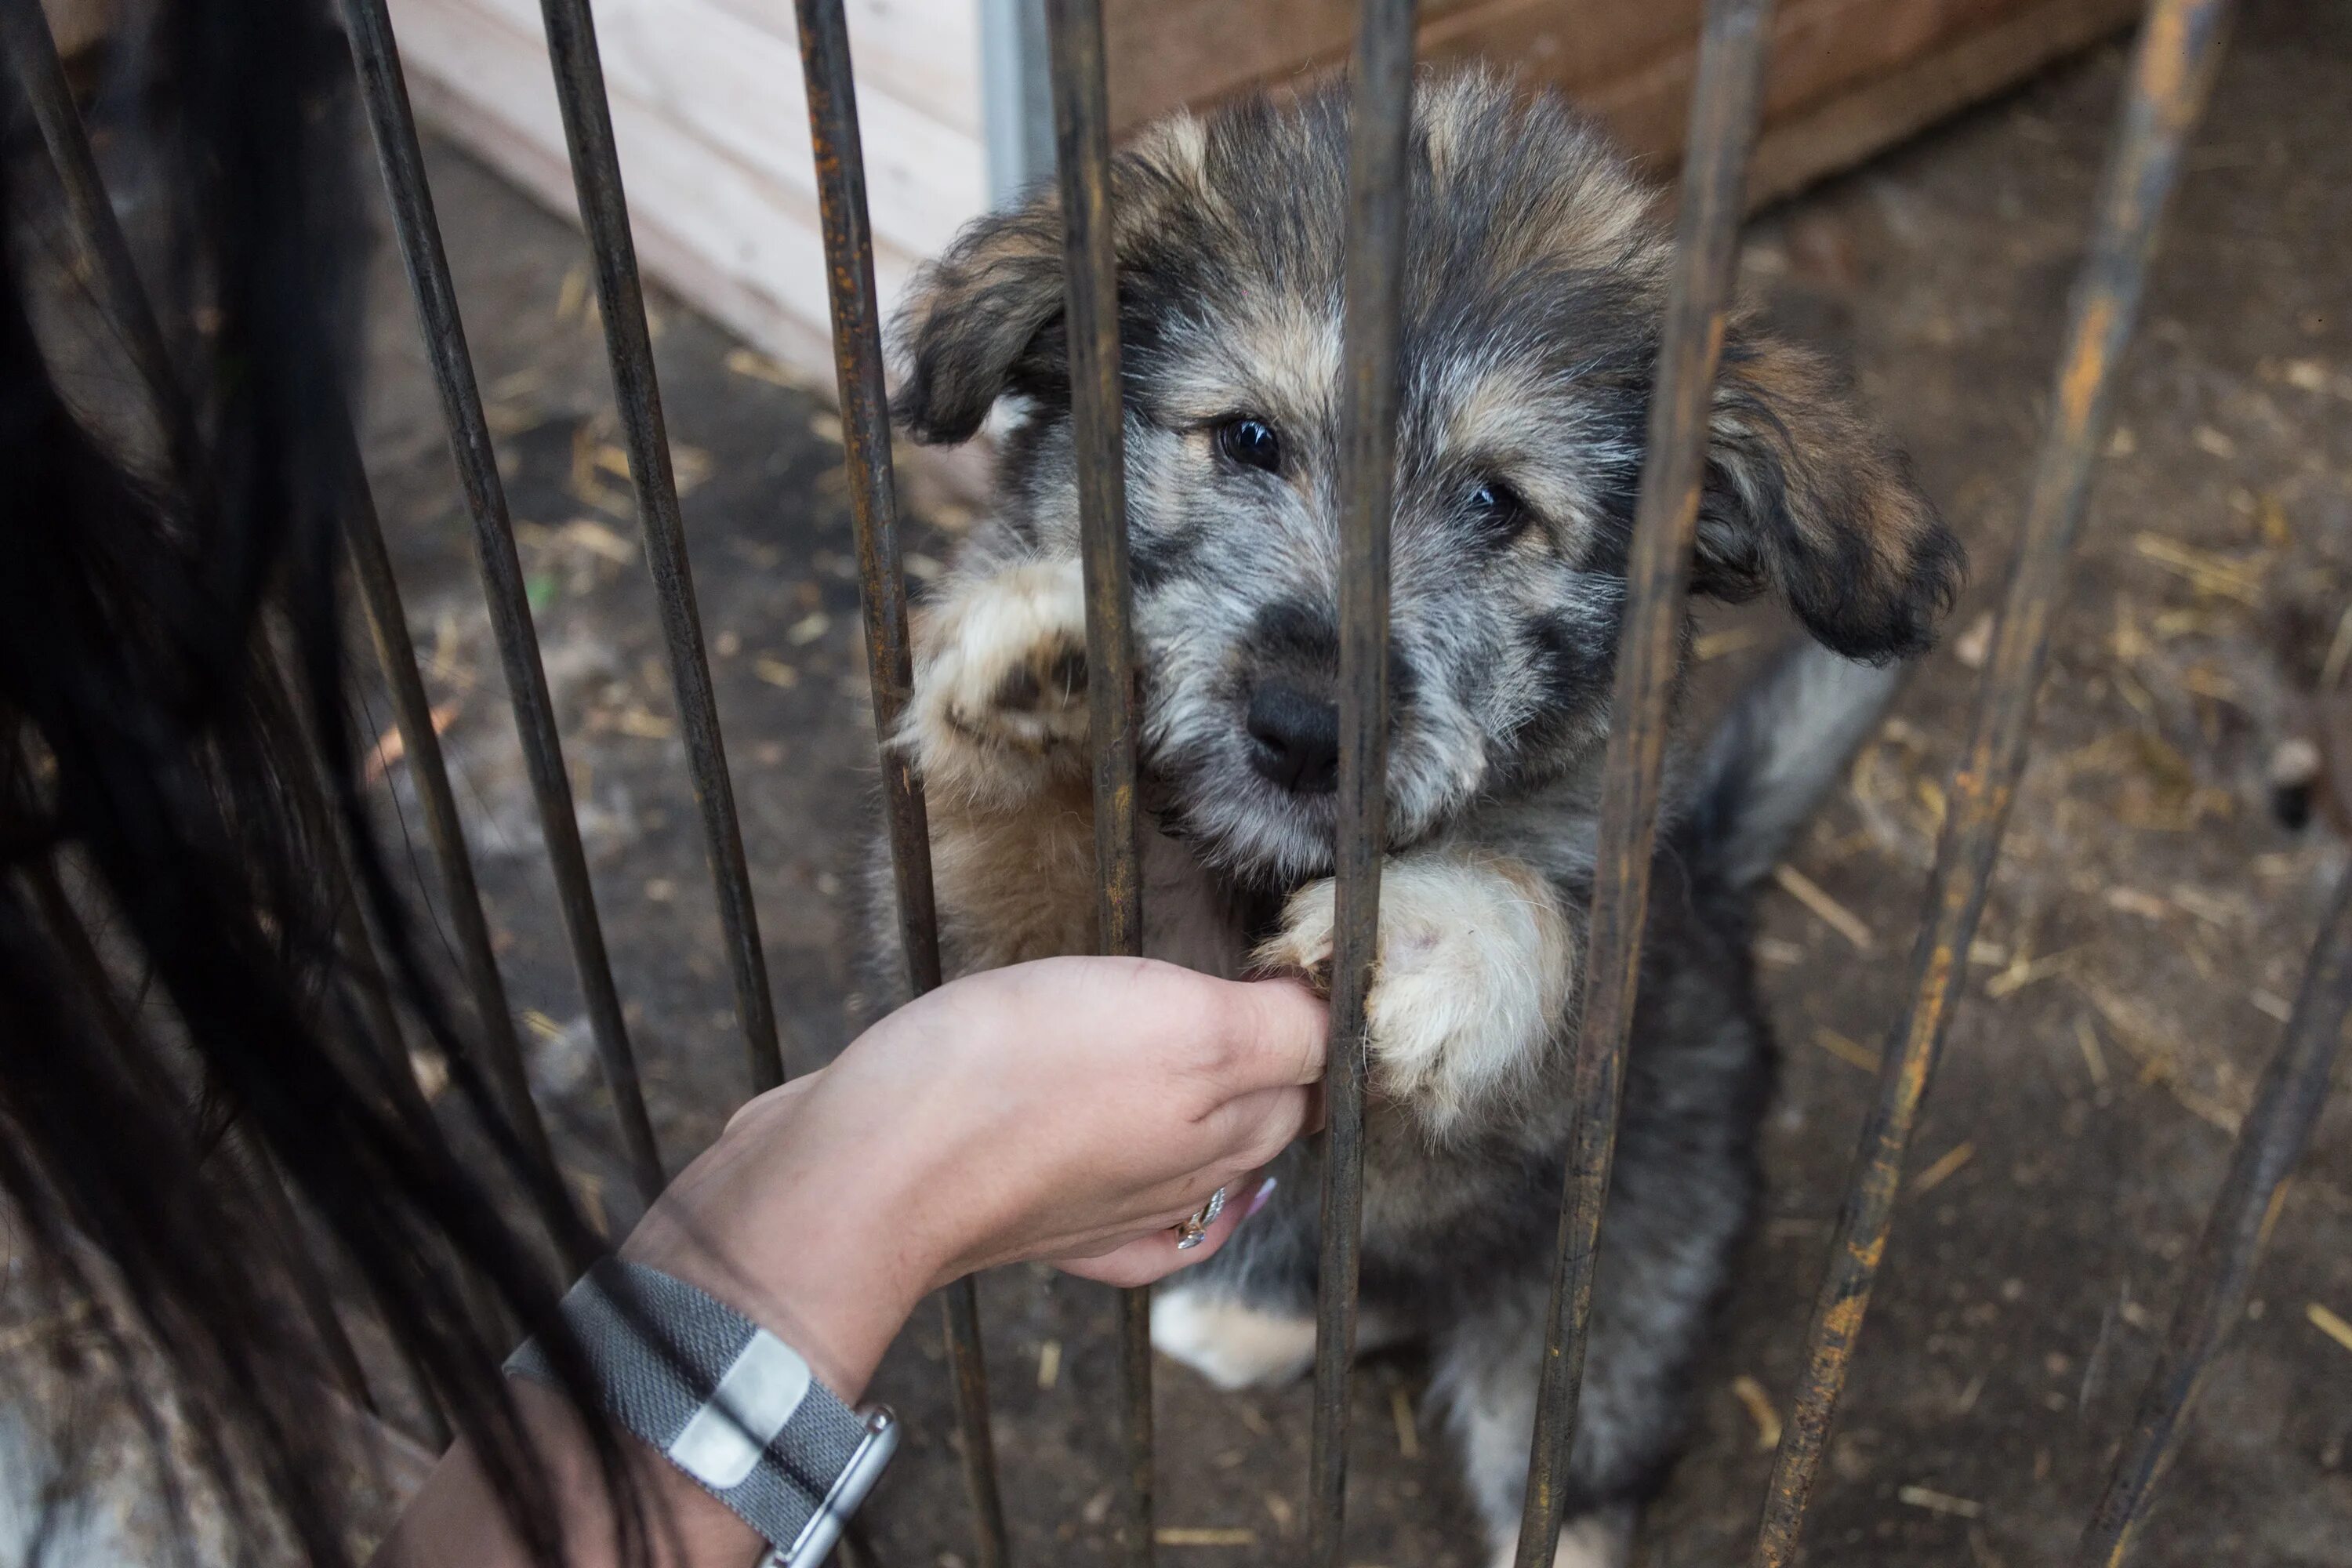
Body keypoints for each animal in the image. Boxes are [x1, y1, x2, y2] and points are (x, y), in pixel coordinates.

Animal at [866, 73, 1966, 1568]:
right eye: (1247, 438)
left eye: (1497, 501)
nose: (1302, 727)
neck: (1265, 866)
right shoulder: (1015, 956)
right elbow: (1003, 879)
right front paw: (1044, 676)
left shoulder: (1548, 1100)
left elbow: (1524, 935)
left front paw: (1440, 938)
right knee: (1378, 1284)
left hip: (1602, 1314)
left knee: (1560, 1483)